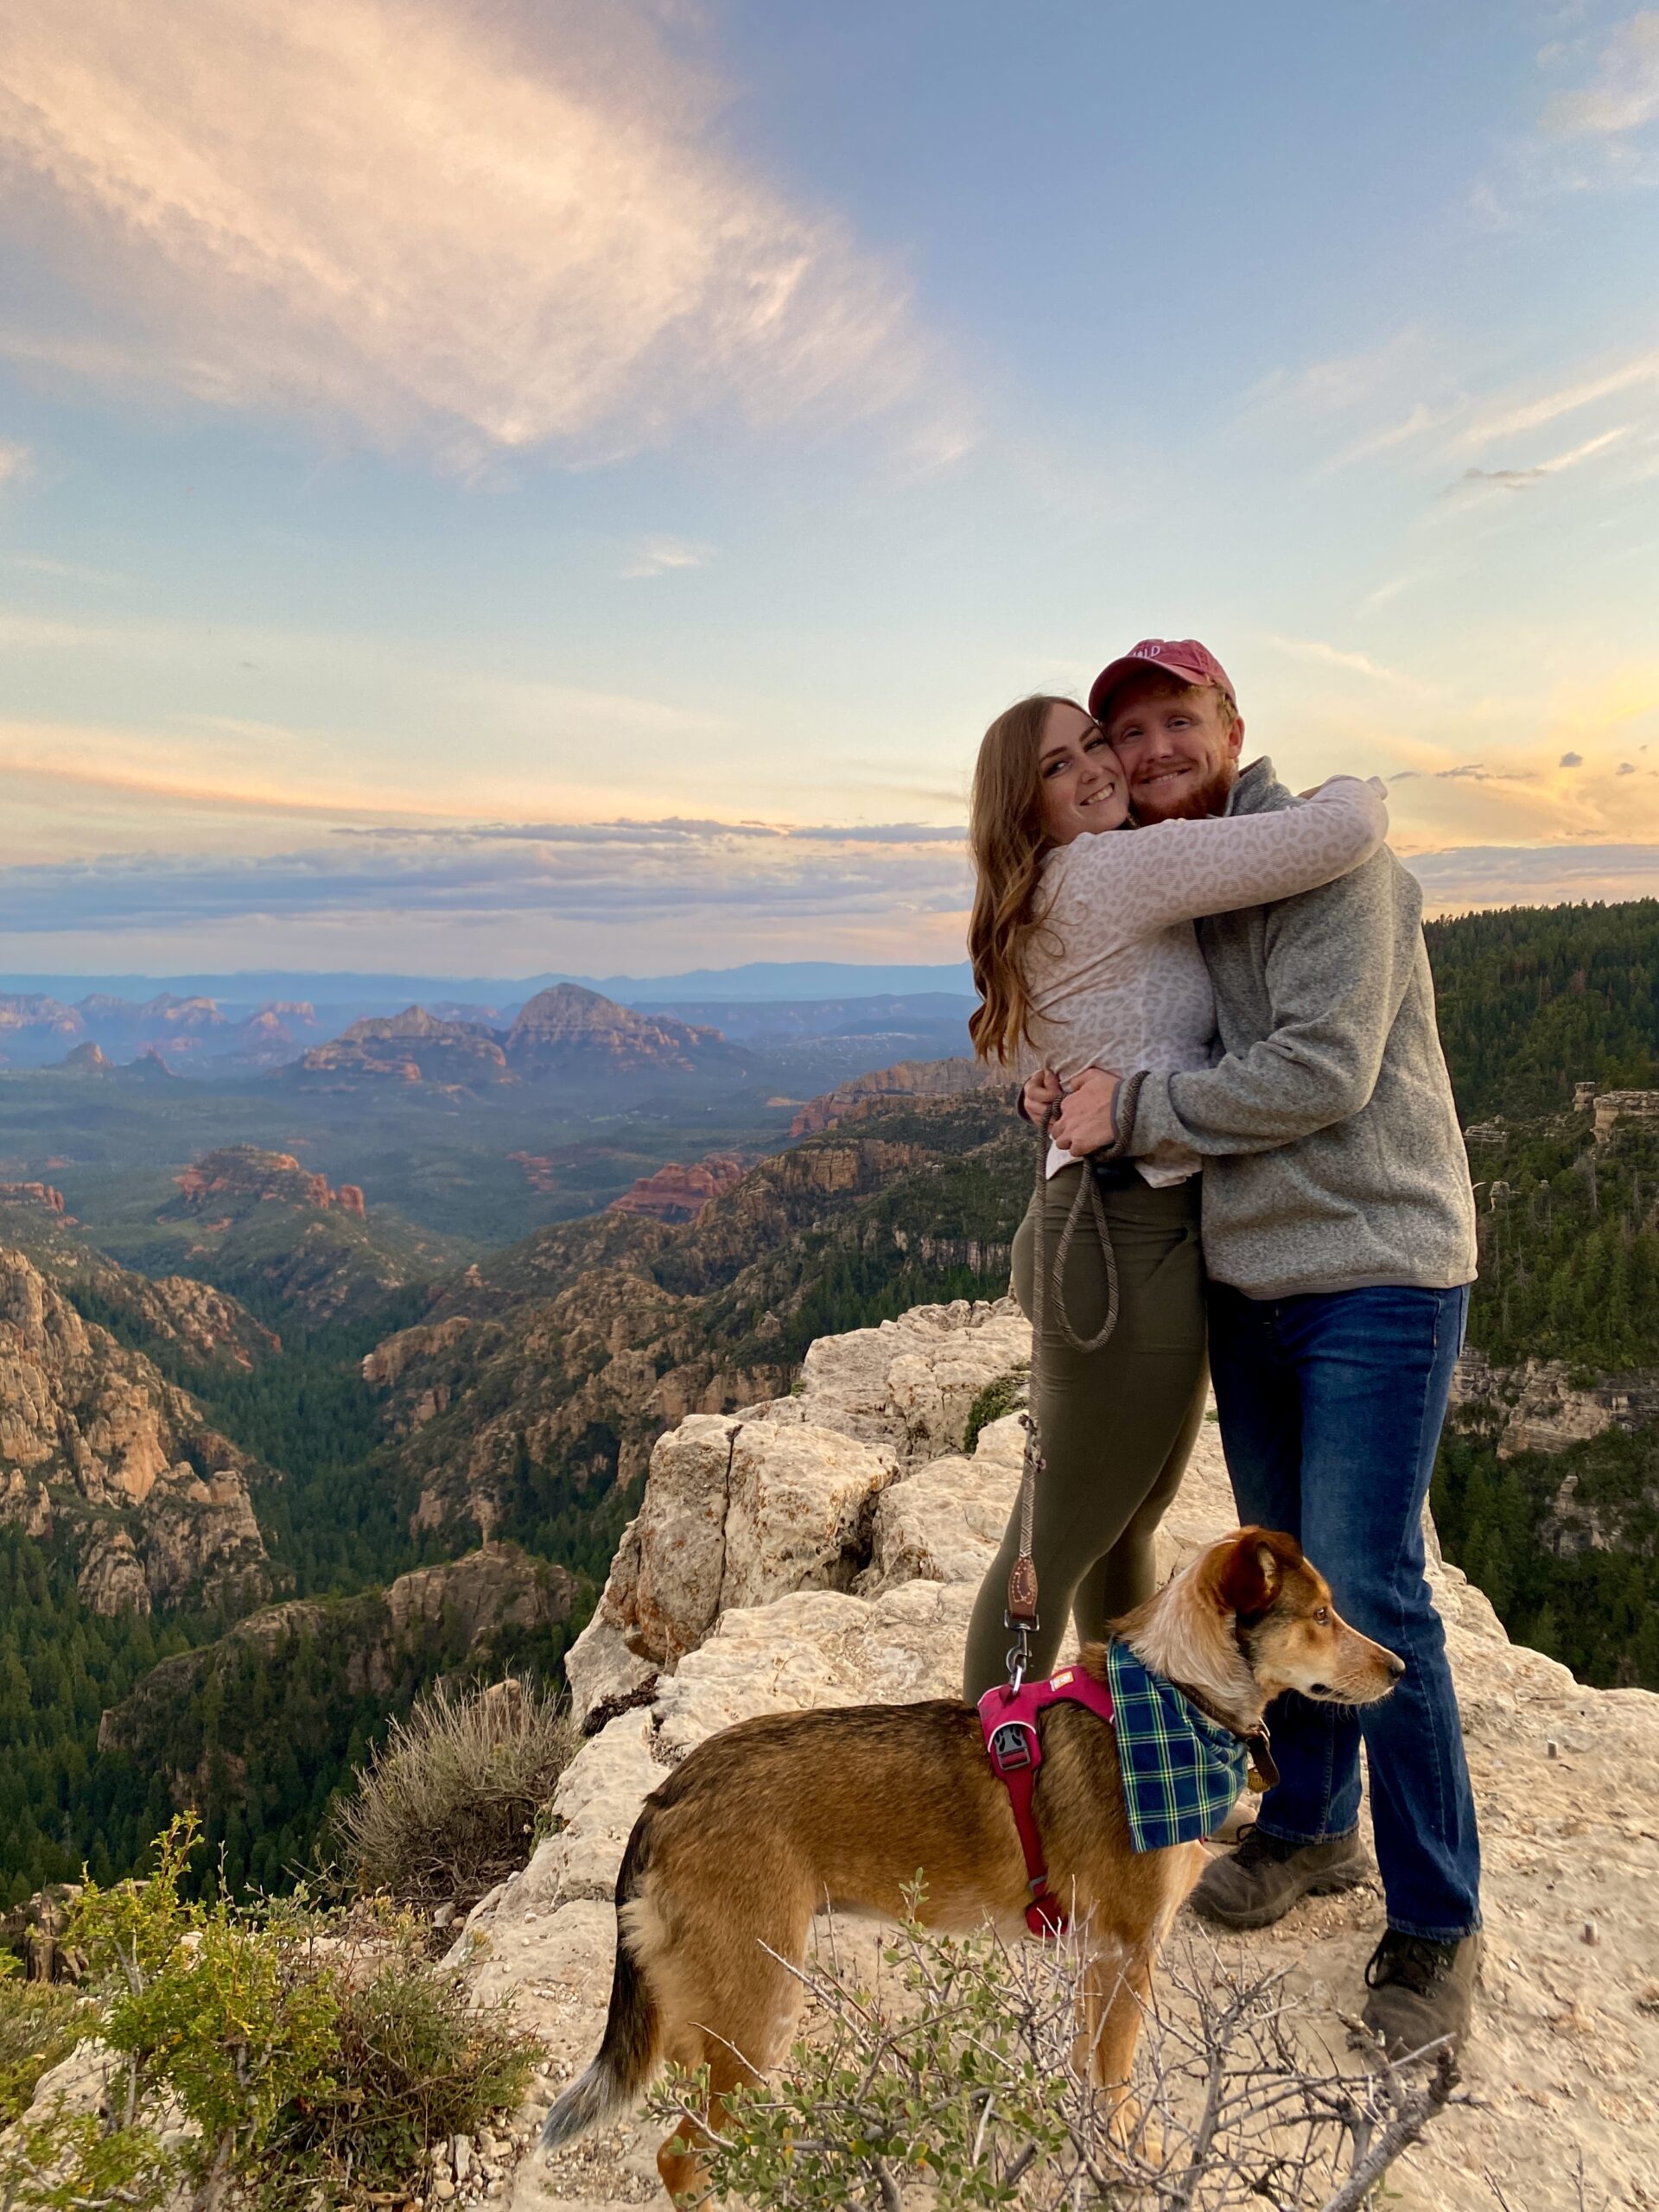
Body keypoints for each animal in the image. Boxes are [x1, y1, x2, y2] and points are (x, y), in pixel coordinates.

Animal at [542, 1530, 1407, 2202]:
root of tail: (668, 1792)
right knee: (682, 2159)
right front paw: (1128, 2160)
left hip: (715, 2021)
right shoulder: (1128, 1951)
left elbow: (1089, 2071)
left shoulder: (1096, 1959)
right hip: (760, 2010)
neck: (1171, 1705)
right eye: (1321, 1616)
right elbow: (1117, 2078)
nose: (1399, 1669)